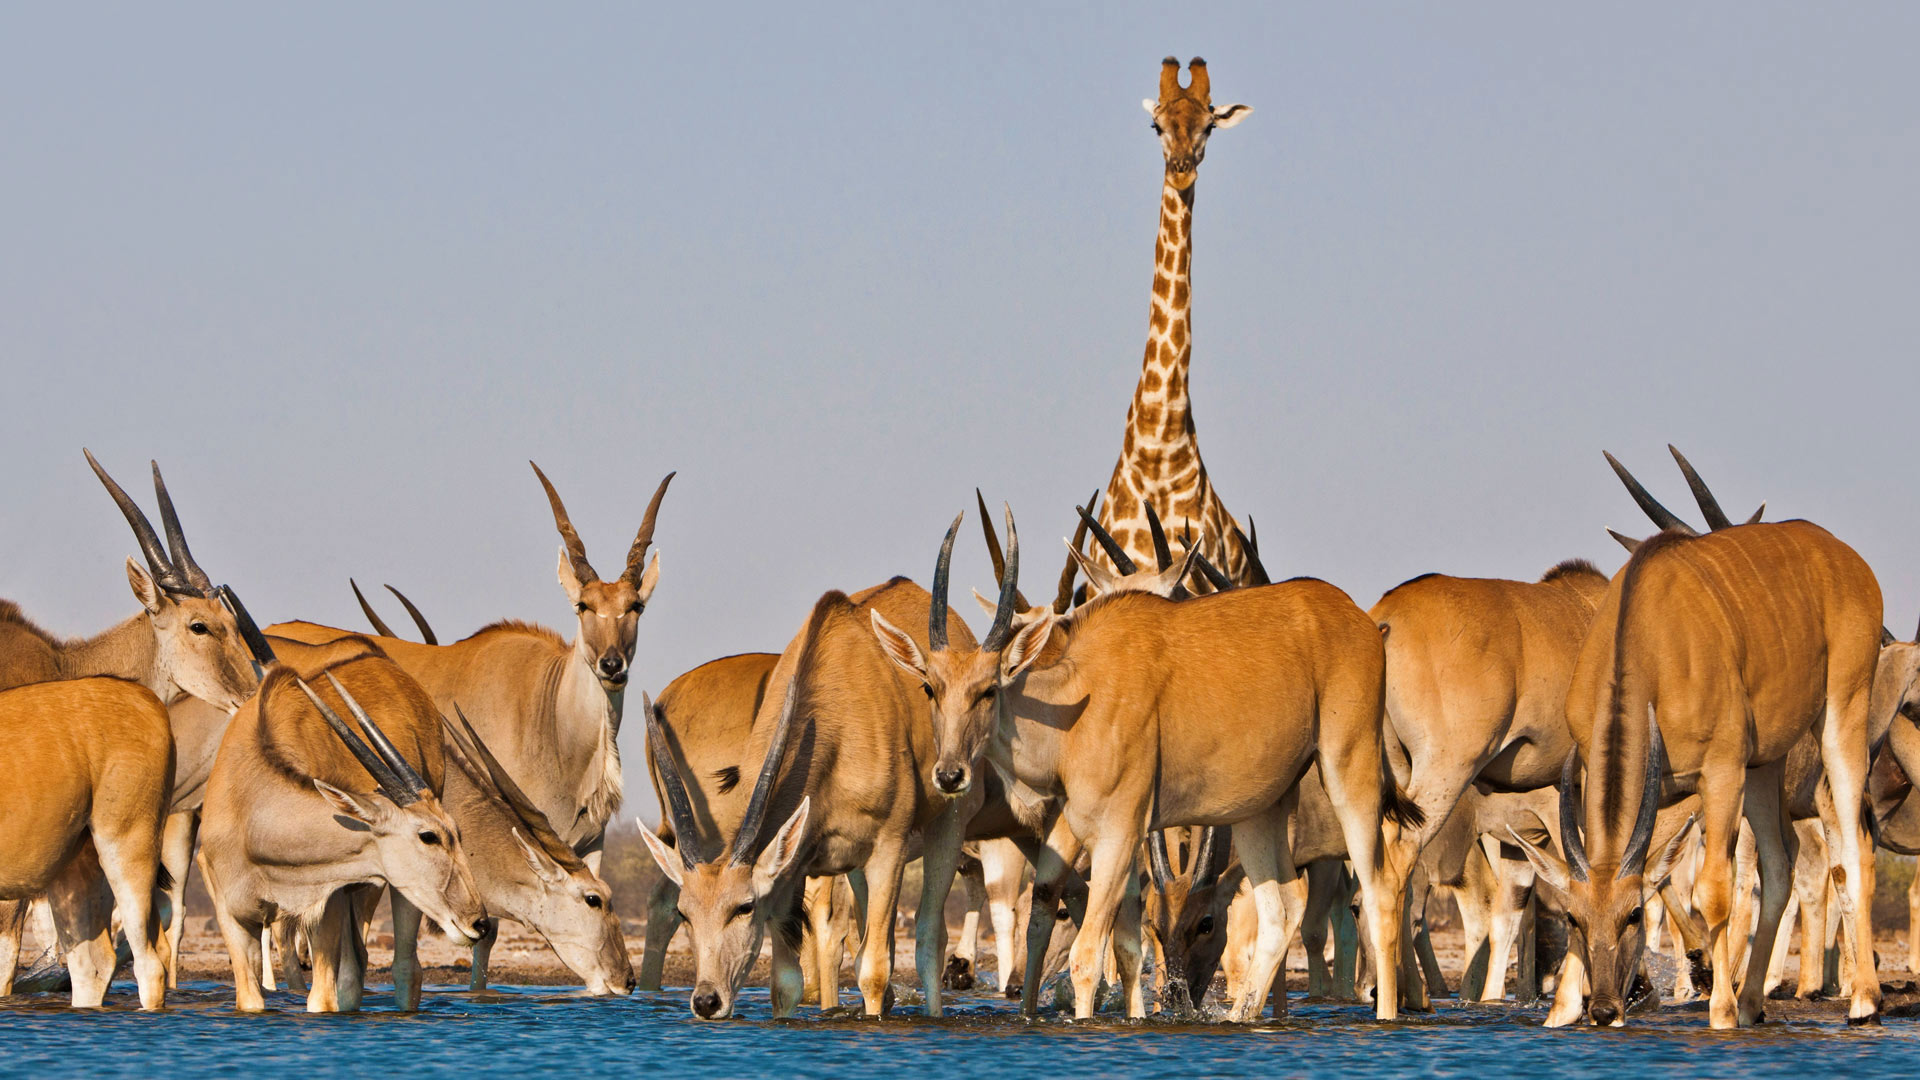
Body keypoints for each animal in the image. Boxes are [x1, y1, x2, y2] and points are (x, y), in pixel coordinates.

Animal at [197, 642, 489, 1012]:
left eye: (457, 834)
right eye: (429, 836)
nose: (479, 922)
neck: (248, 805)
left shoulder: (327, 904)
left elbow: (323, 999)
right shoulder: (233, 918)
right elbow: (251, 999)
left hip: (396, 892)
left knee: (399, 968)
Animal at [1509, 451, 1885, 1029]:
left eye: (1633, 915)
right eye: (1574, 919)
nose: (1605, 1009)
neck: (1647, 637)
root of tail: (1847, 559)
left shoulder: (1720, 773)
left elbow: (1713, 891)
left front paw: (1720, 1010)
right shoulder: (1608, 775)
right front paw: (1561, 1010)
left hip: (1842, 715)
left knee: (1853, 851)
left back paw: (1862, 1000)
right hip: (1764, 766)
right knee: (1782, 861)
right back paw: (1753, 1003)